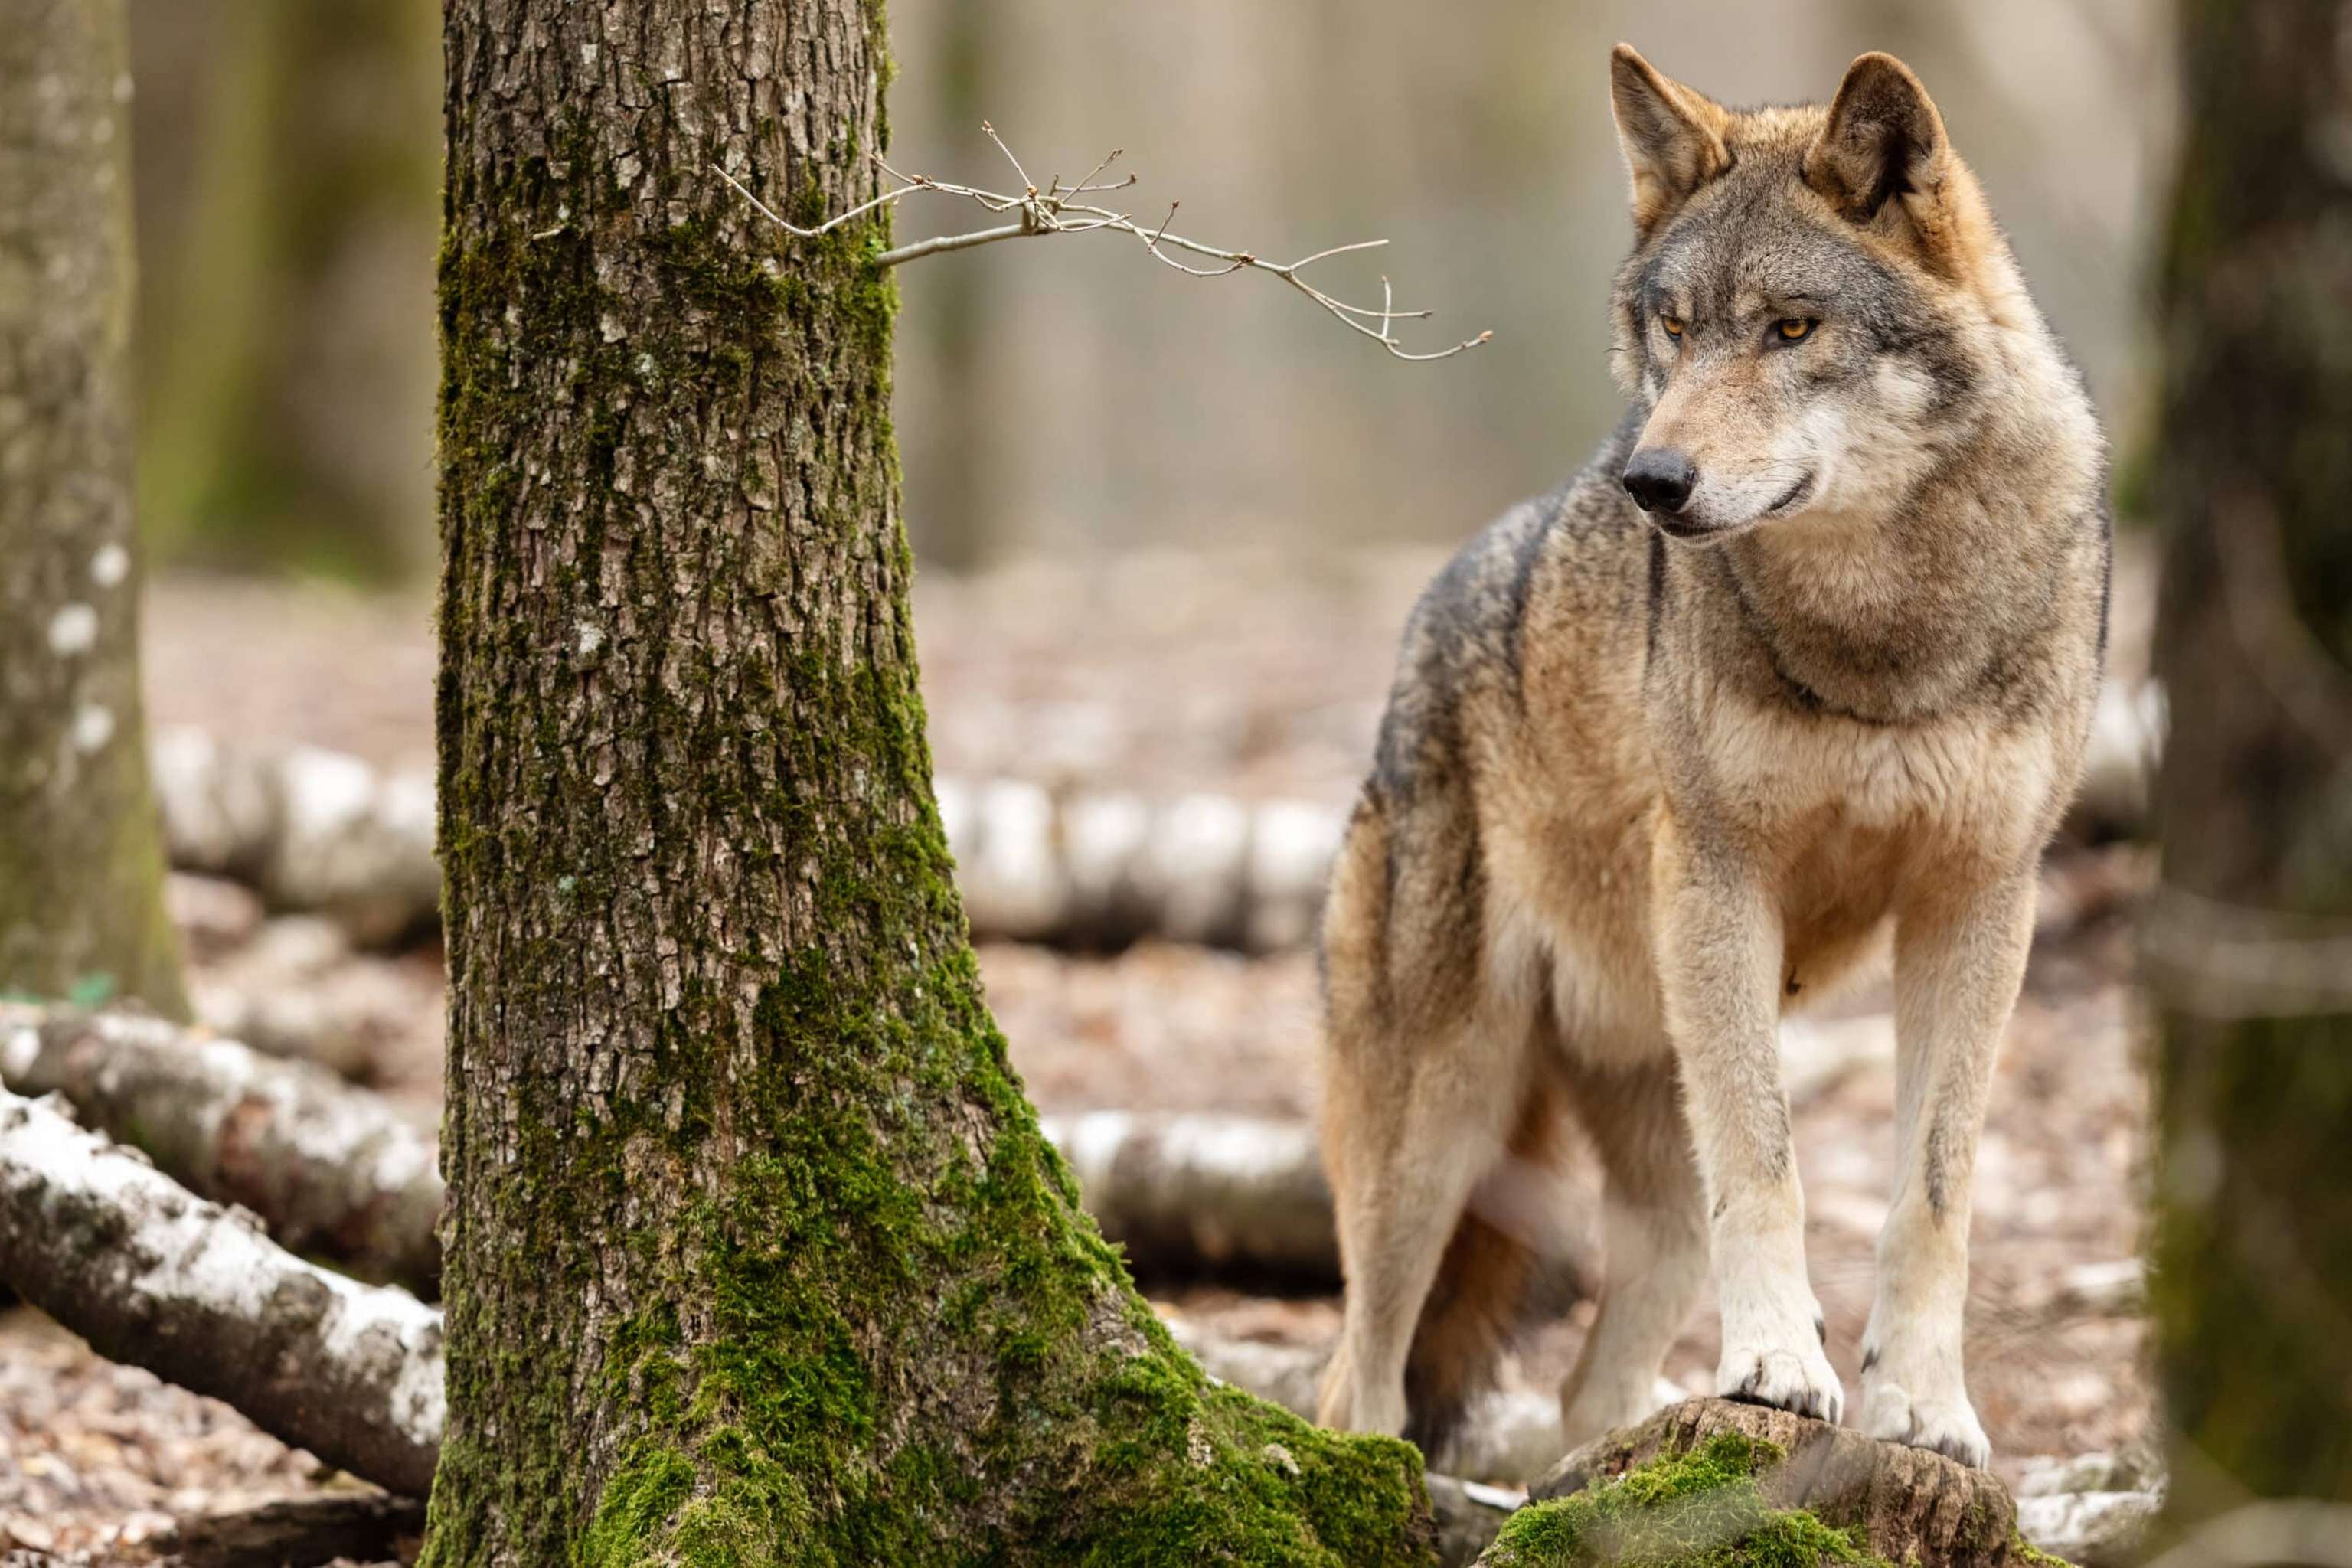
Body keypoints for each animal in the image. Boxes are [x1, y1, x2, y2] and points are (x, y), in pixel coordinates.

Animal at [1312, 45, 2107, 1470]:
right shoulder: (1721, 877)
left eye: (1790, 329)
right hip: (1436, 1136)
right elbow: (1771, 1167)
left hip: (1635, 1156)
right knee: (1358, 1382)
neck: (1882, 638)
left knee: (1587, 1398)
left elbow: (1934, 1190)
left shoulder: (1979, 899)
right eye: (1674, 330)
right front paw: (1781, 1367)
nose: (1651, 480)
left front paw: (1922, 1407)